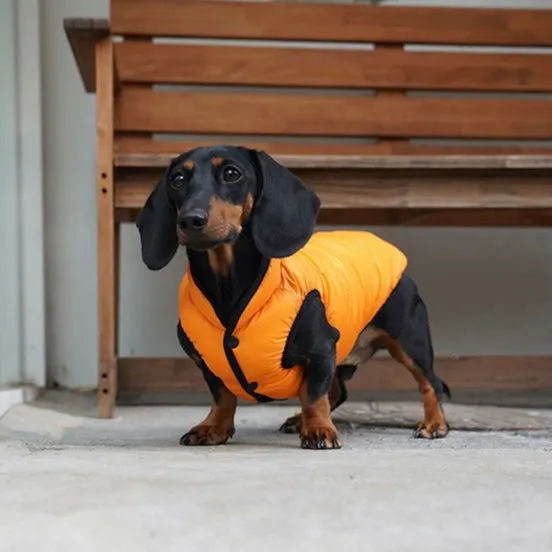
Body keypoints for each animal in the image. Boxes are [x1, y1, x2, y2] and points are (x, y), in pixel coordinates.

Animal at [136, 146, 450, 448]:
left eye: (231, 173)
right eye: (177, 179)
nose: (190, 220)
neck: (230, 289)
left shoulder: (321, 349)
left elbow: (313, 394)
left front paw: (319, 429)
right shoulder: (208, 362)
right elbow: (222, 395)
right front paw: (213, 428)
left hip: (410, 341)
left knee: (430, 383)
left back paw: (434, 424)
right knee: (338, 391)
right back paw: (299, 420)